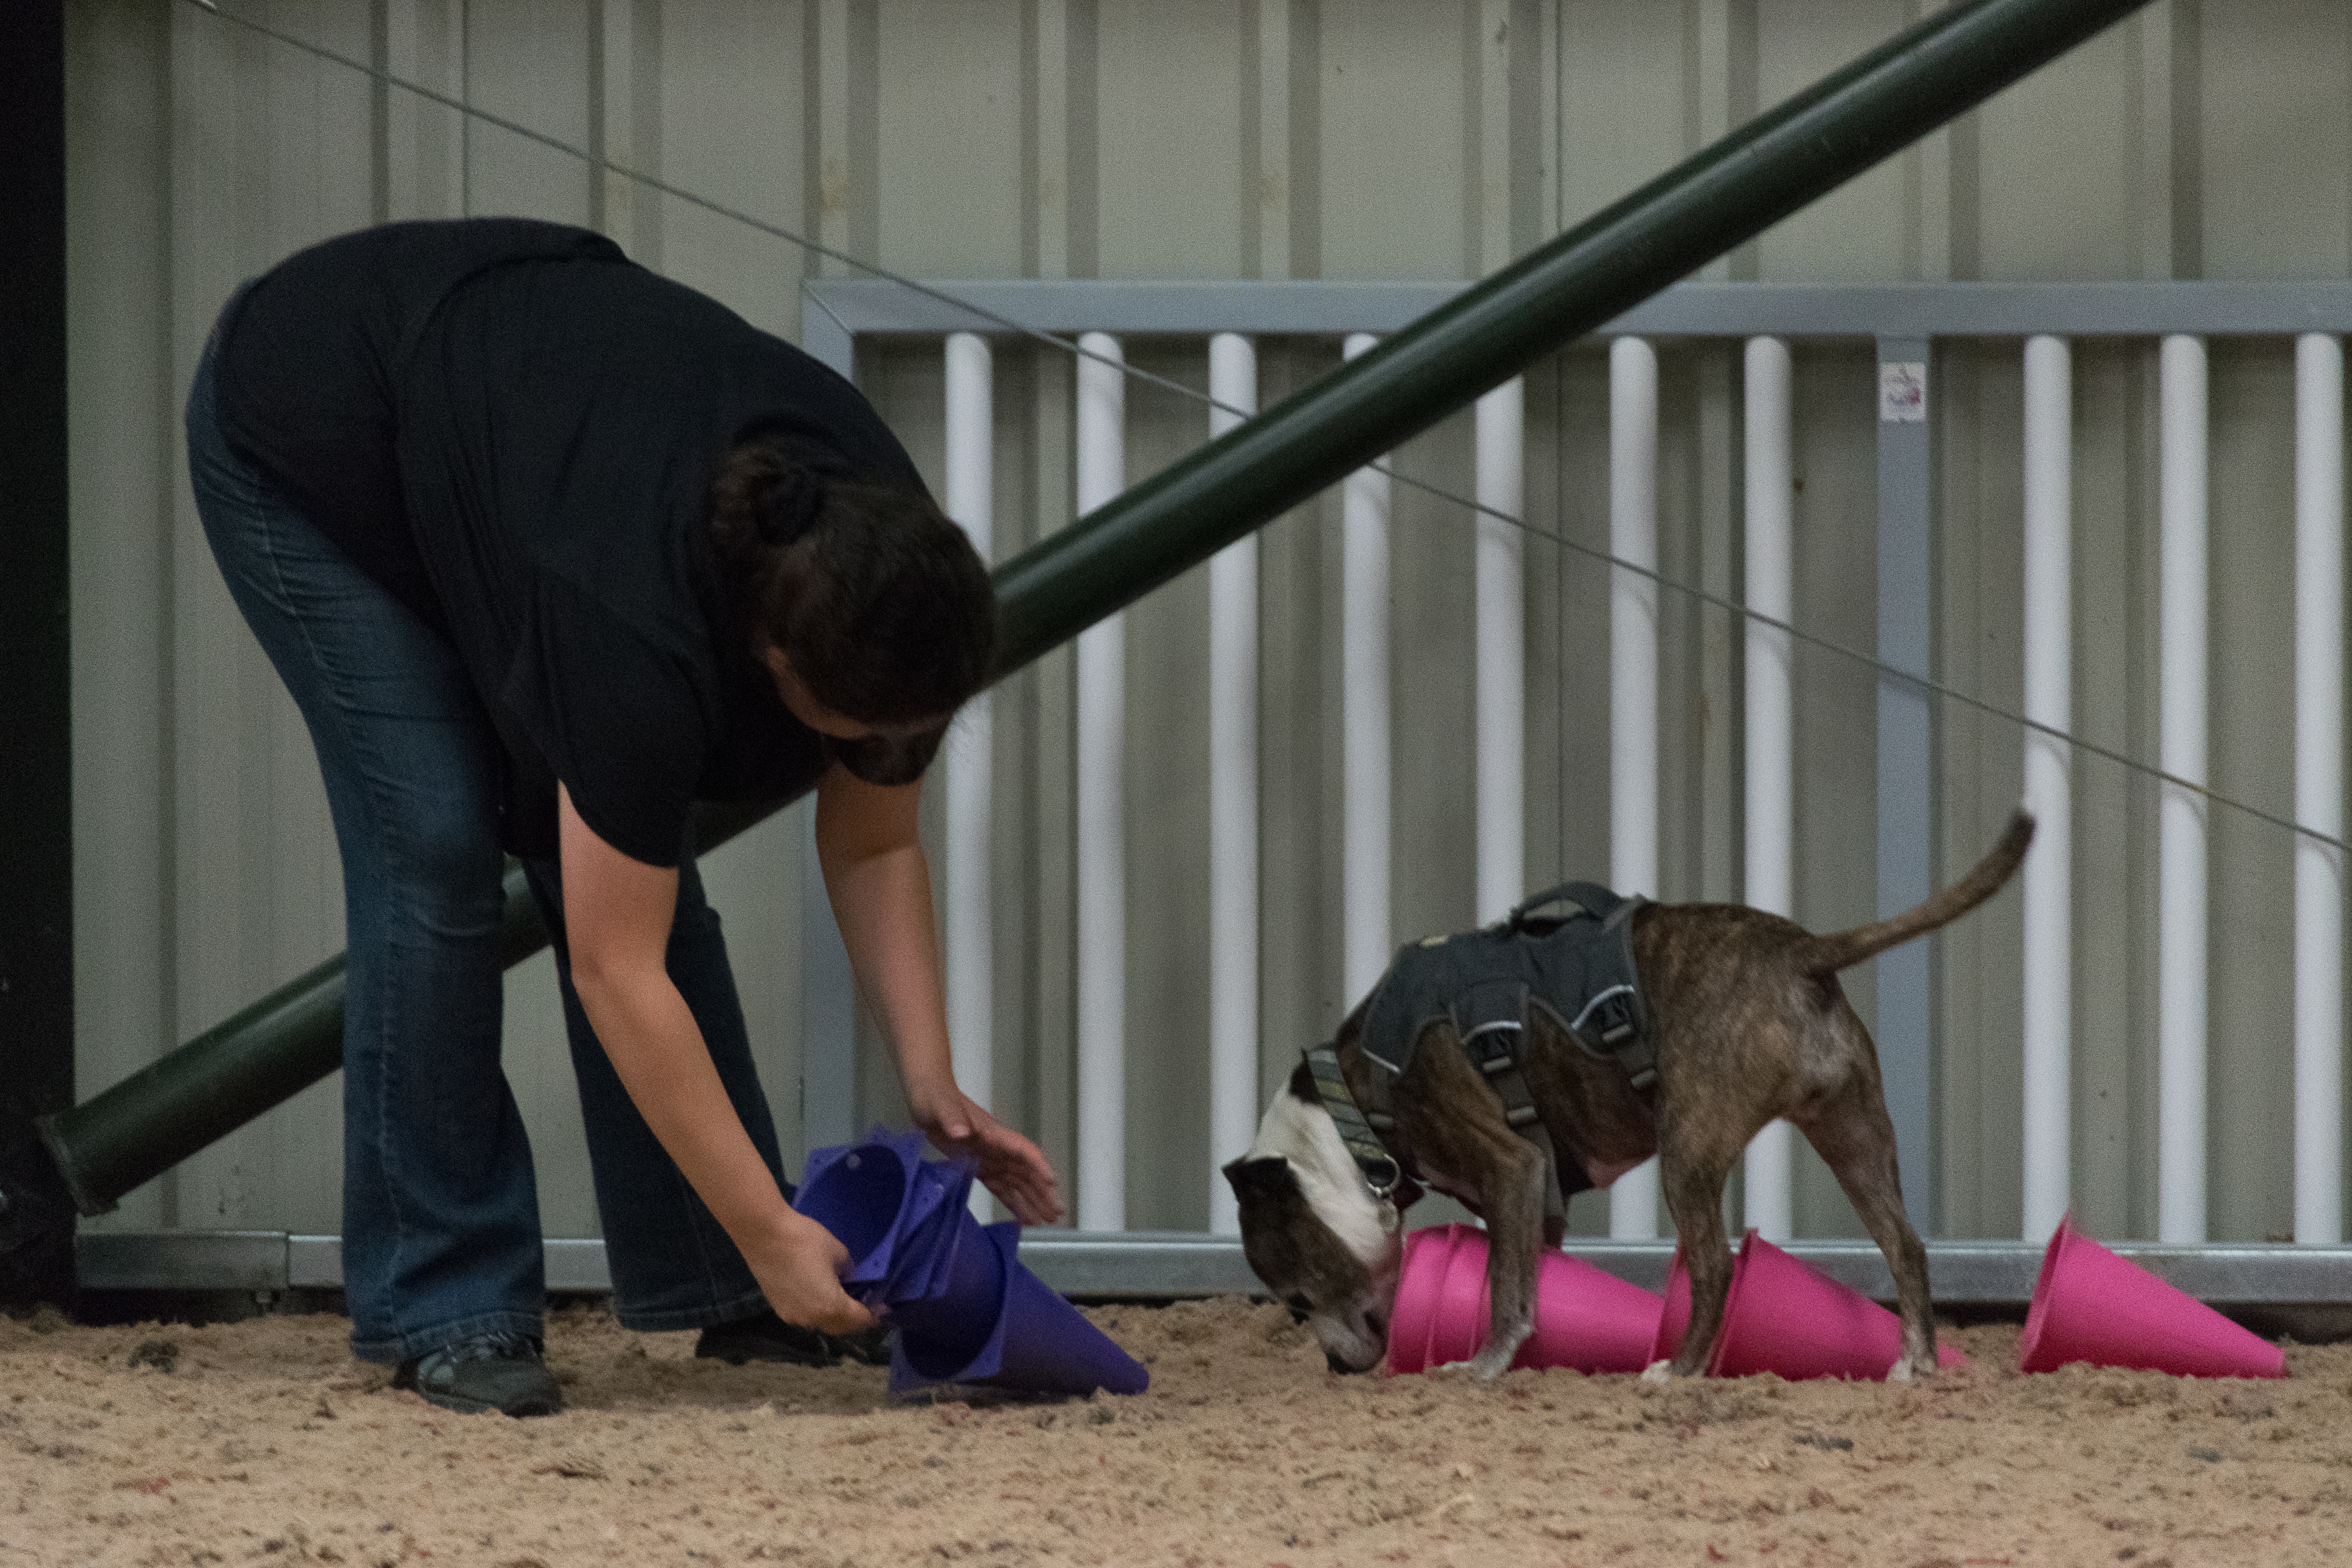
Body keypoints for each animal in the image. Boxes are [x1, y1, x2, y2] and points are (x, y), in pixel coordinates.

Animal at [1223, 818, 2032, 1382]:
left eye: (1296, 1299)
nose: (1334, 1366)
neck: (1349, 1108)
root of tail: (1803, 952)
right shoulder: (1529, 1197)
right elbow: (1527, 1276)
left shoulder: (1510, 1165)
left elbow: (1506, 1291)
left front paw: (1480, 1366)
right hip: (1854, 1134)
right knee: (1904, 1244)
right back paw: (1913, 1362)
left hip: (1690, 1148)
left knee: (1714, 1266)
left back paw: (1680, 1368)